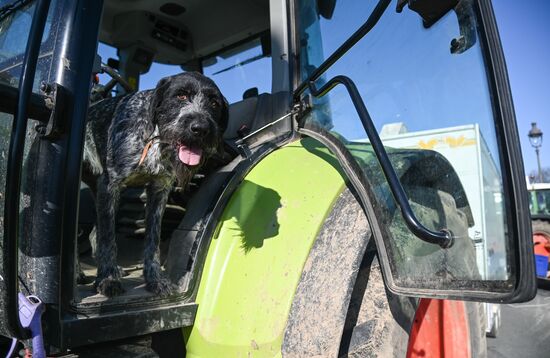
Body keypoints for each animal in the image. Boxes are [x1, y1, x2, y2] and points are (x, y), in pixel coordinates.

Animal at [82, 72, 229, 296]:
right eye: (180, 96)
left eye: (214, 103)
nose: (200, 129)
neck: (154, 141)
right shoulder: (110, 185)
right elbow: (108, 239)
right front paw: (107, 279)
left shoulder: (159, 190)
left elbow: (153, 241)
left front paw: (155, 279)